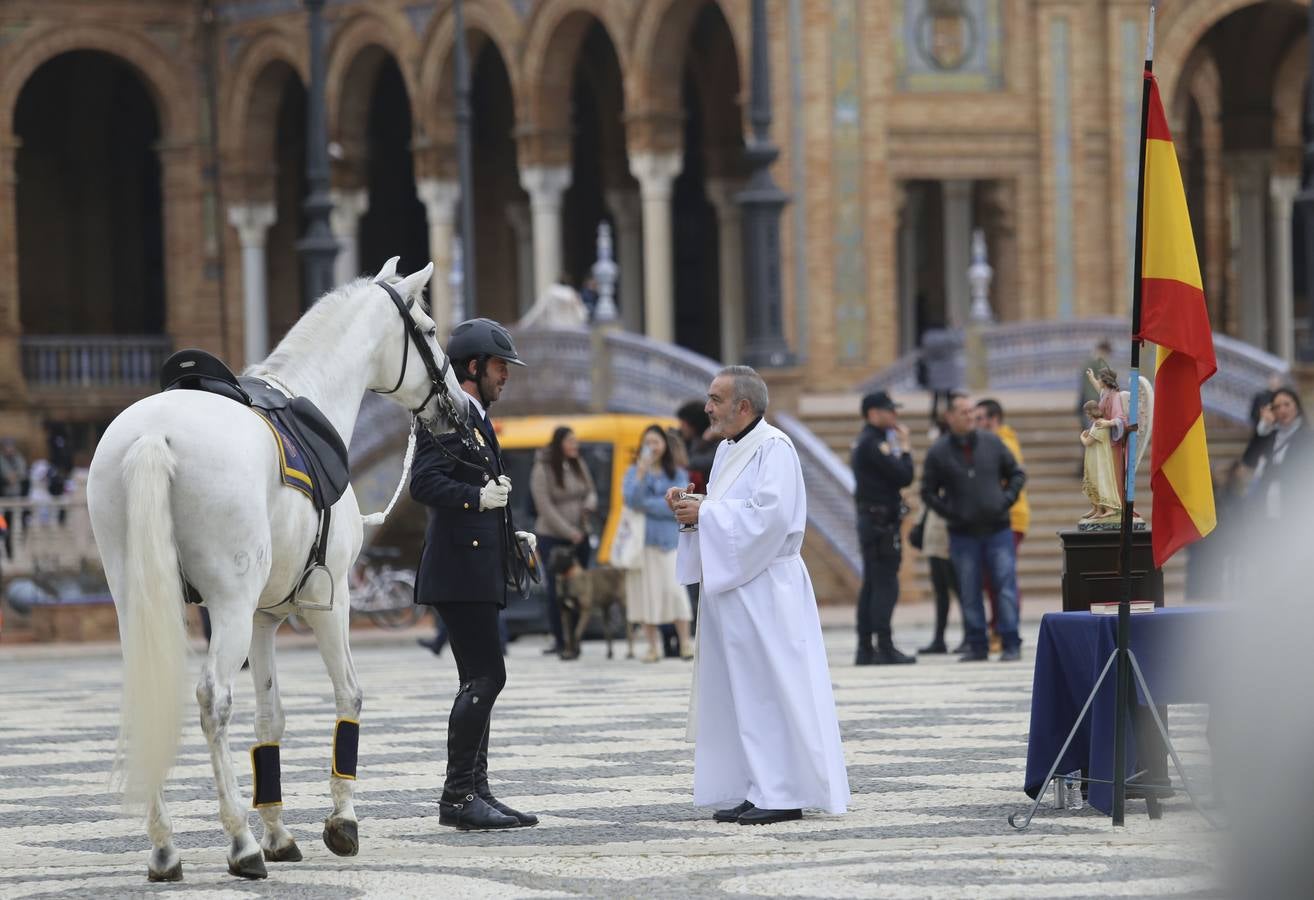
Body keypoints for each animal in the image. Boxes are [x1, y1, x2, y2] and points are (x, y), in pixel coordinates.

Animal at [86, 256, 467, 882]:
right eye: (432, 330)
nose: (457, 406)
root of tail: (152, 434)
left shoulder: (264, 619)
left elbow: (270, 720)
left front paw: (279, 833)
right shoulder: (329, 606)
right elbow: (348, 696)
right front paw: (339, 821)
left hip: (141, 603)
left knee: (151, 694)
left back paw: (166, 847)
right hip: (229, 607)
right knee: (212, 700)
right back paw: (238, 842)